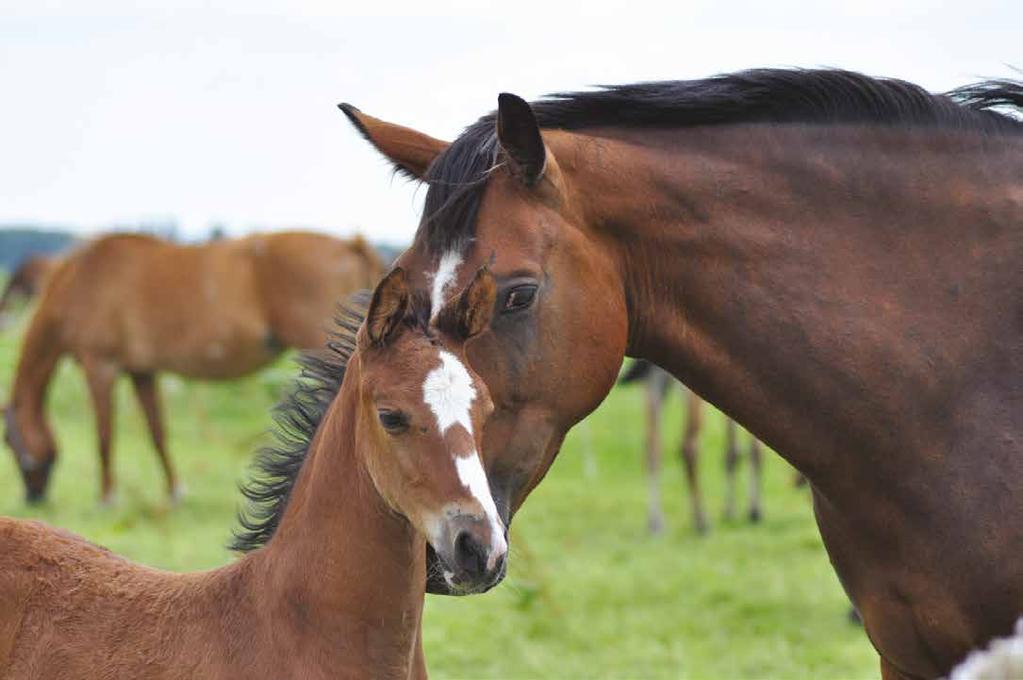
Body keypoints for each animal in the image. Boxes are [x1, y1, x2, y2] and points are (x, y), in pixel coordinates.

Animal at [1, 231, 384, 501]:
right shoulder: (142, 372)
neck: (84, 280)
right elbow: (157, 431)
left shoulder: (101, 367)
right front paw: (174, 491)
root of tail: (350, 245)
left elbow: (105, 435)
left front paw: (107, 496)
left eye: (9, 442)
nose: (33, 498)